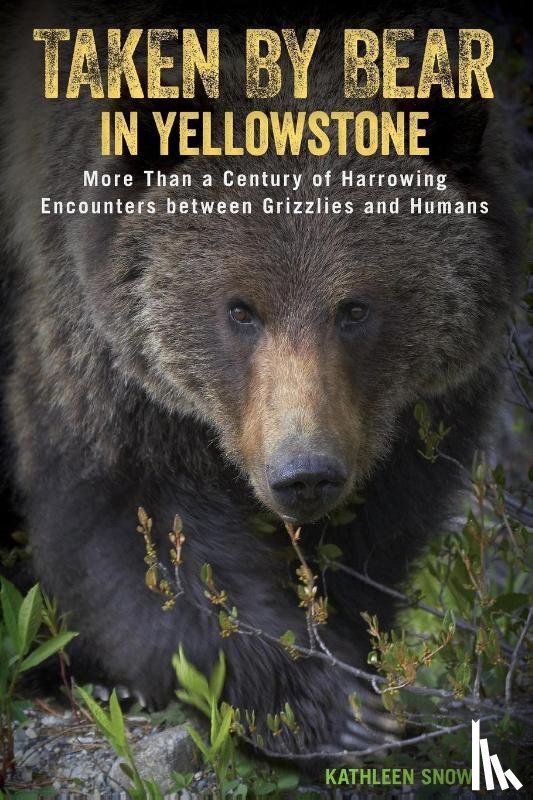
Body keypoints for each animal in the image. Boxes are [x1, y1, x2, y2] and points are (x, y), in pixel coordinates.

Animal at [0, 0, 523, 754]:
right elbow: (138, 521)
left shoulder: (410, 411)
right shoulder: (100, 348)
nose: (303, 474)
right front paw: (321, 704)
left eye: (354, 308)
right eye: (240, 309)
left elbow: (380, 526)